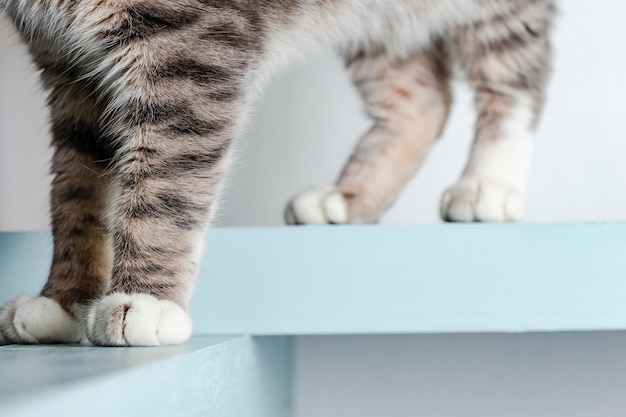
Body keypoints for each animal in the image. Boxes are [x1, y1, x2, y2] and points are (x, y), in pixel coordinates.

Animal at [0, 0, 552, 344]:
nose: (488, 184)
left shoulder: (189, 52)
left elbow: (165, 183)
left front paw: (145, 301)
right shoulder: (69, 69)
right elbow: (75, 196)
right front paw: (63, 302)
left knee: (516, 76)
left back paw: (488, 184)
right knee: (422, 100)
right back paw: (347, 198)